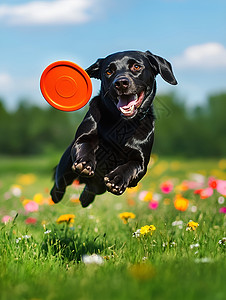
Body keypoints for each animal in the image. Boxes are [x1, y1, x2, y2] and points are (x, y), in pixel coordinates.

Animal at [50, 50, 177, 207]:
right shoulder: (83, 138)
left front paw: (117, 179)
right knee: (59, 185)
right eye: (109, 71)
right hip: (64, 170)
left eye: (136, 66)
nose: (121, 83)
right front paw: (85, 163)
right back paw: (58, 195)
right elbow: (85, 145)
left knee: (90, 189)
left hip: (97, 187)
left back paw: (85, 199)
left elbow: (131, 166)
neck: (122, 124)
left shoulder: (141, 161)